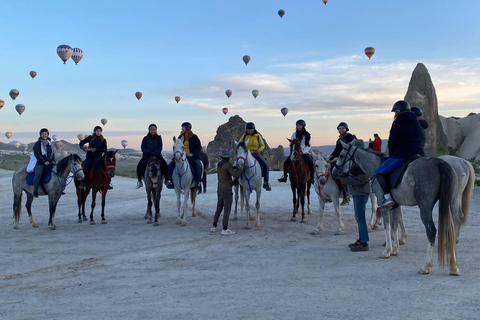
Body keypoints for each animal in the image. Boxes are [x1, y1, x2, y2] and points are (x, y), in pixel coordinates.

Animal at [334, 141, 462, 276]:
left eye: (341, 155)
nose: (334, 172)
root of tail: (440, 163)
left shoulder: (384, 207)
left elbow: (387, 226)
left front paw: (387, 251)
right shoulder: (395, 206)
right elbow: (395, 225)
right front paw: (395, 249)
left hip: (425, 207)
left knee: (431, 231)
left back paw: (426, 266)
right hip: (451, 205)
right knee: (451, 229)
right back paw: (454, 267)